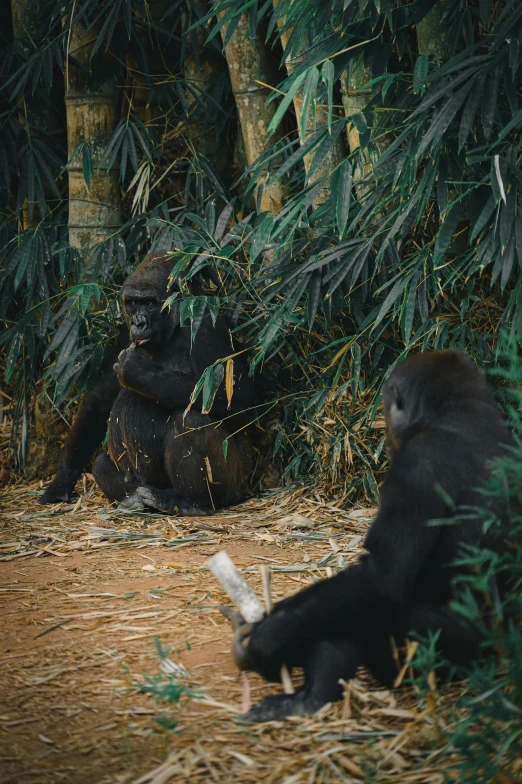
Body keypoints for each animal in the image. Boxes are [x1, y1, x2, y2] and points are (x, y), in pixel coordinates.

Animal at [39, 251, 255, 516]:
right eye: (132, 303)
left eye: (150, 303)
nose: (139, 323)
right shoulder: (125, 332)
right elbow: (99, 398)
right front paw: (62, 479)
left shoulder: (206, 325)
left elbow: (239, 400)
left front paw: (139, 372)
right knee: (101, 463)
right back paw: (134, 496)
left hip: (237, 482)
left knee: (192, 421)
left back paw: (194, 503)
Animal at [226, 352, 512, 720]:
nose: (386, 434)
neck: (465, 418)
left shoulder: (417, 464)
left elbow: (379, 578)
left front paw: (271, 636)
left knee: (363, 604)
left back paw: (311, 695)